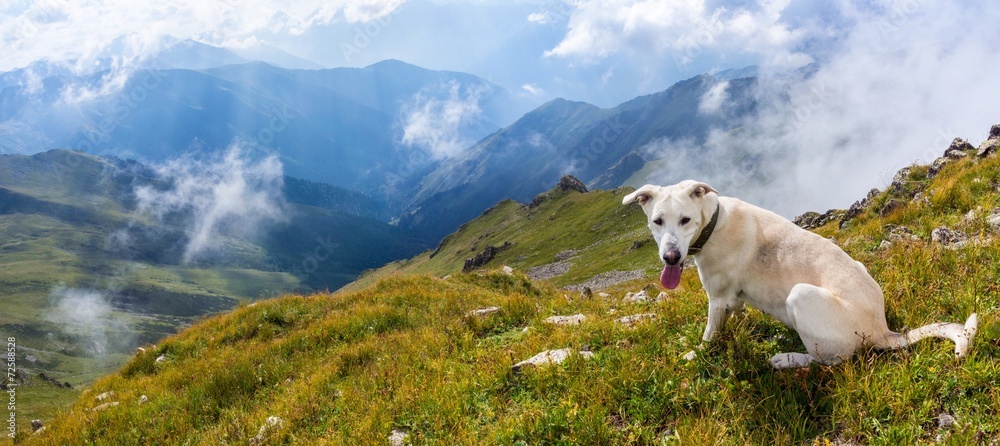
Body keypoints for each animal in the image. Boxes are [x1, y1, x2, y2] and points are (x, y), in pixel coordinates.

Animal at [620, 179, 980, 368]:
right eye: (657, 221)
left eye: (685, 220)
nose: (671, 257)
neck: (712, 223)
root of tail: (883, 329)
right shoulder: (731, 301)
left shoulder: (717, 300)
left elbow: (710, 336)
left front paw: (696, 352)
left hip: (801, 296)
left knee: (830, 361)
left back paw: (788, 358)